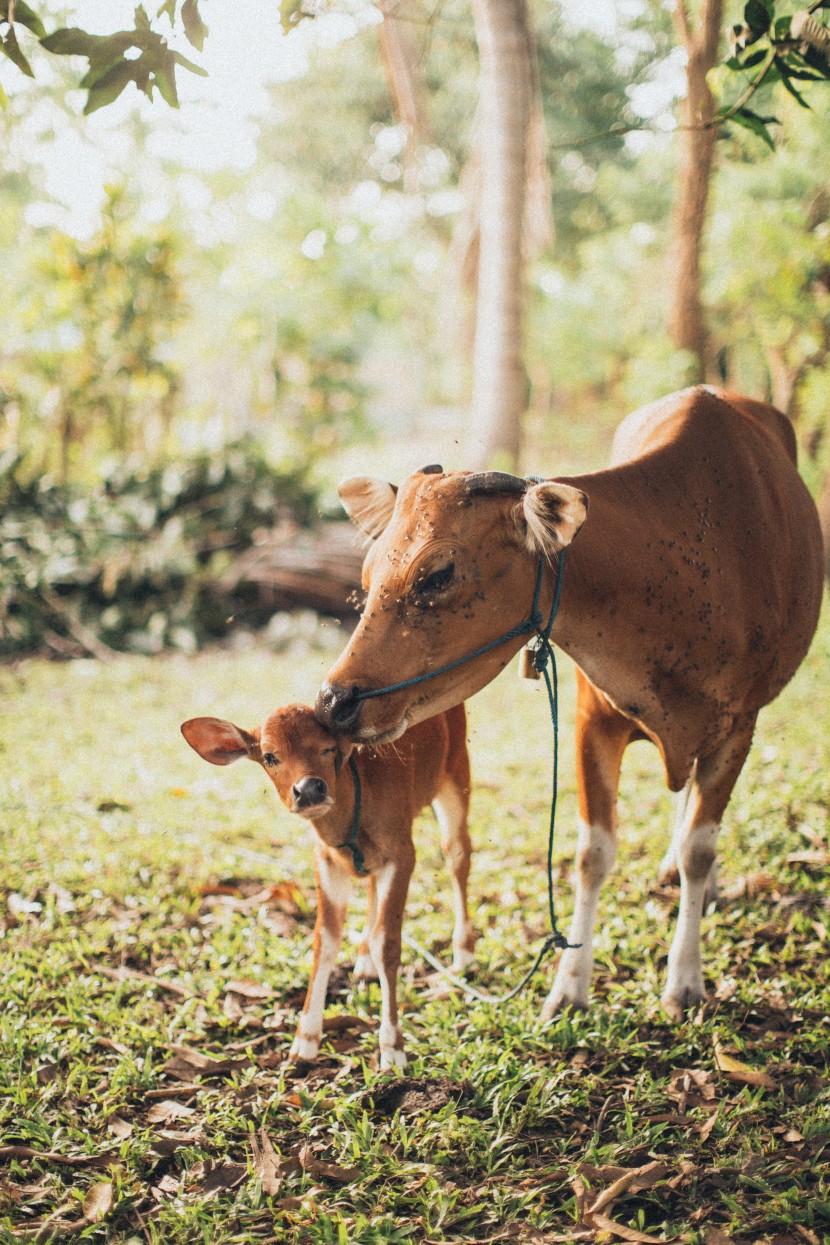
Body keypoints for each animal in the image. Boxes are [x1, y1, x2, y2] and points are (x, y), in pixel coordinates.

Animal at [180, 707, 472, 1065]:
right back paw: (364, 964)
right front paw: (304, 1040)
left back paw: (463, 954)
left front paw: (392, 1048)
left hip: (456, 770)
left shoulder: (402, 851)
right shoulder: (327, 858)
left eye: (328, 747)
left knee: (457, 855)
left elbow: (388, 943)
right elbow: (325, 939)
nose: (308, 790)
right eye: (269, 756)